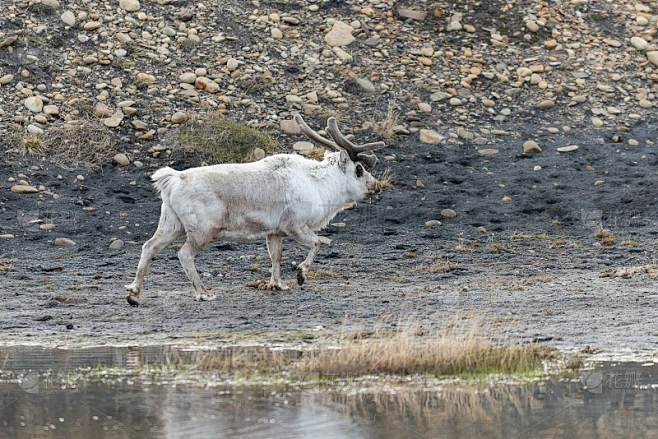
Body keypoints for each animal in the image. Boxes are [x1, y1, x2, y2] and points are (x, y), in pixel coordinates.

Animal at [124, 115, 384, 306]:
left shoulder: (275, 232)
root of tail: (172, 180)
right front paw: (301, 275)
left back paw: (134, 294)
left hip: (171, 223)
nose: (376, 186)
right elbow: (318, 243)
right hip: (202, 229)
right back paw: (204, 293)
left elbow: (276, 256)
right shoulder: (295, 225)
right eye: (359, 169)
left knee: (149, 246)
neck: (319, 185)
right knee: (184, 254)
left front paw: (278, 285)